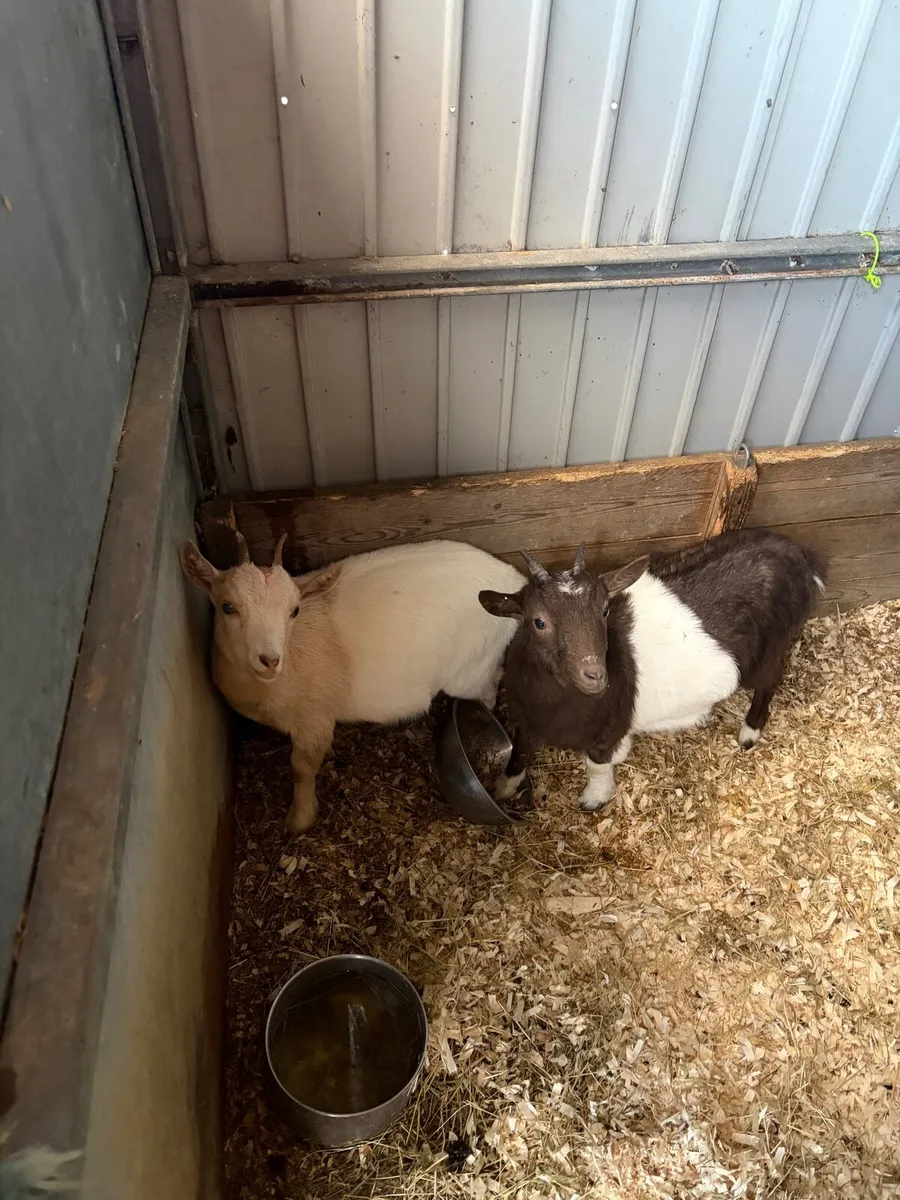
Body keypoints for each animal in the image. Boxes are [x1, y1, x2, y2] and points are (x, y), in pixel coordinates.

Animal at [181, 534, 525, 833]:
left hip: (470, 670)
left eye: (294, 610)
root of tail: (513, 580)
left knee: (489, 689)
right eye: (227, 606)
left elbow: (302, 768)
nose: (269, 659)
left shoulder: (315, 719)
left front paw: (299, 820)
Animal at [479, 530, 826, 812]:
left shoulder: (607, 730)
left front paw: (595, 798)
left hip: (771, 650)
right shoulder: (526, 720)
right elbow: (519, 754)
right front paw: (501, 789)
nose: (595, 674)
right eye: (538, 621)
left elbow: (597, 765)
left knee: (770, 681)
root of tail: (796, 554)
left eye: (604, 610)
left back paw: (749, 733)